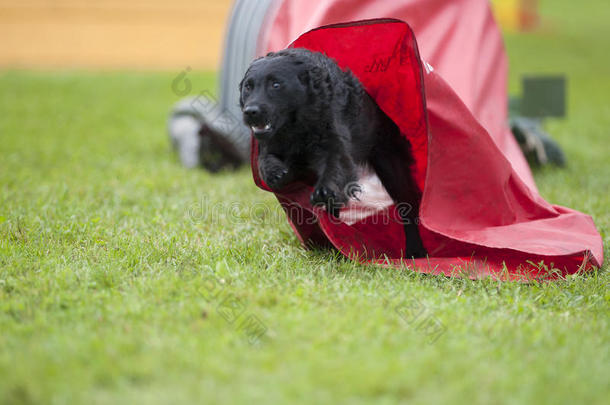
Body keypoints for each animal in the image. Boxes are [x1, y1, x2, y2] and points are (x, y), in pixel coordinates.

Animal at [240, 47, 426, 256]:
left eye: (276, 84)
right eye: (248, 87)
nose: (250, 111)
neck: (296, 127)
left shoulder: (335, 145)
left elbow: (334, 166)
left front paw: (324, 191)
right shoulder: (271, 145)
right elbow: (265, 160)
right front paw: (275, 173)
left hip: (391, 166)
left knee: (407, 207)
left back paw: (415, 250)